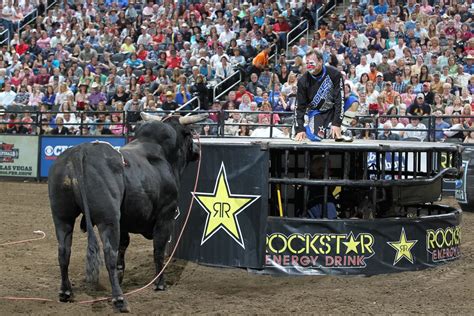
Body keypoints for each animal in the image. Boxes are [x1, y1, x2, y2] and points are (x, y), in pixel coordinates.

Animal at [48, 113, 207, 312]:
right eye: (190, 133)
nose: (197, 150)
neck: (163, 154)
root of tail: (80, 151)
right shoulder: (166, 215)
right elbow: (158, 250)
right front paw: (160, 283)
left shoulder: (124, 223)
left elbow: (122, 252)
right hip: (108, 219)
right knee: (109, 253)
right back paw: (119, 299)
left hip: (62, 216)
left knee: (64, 251)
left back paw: (66, 292)